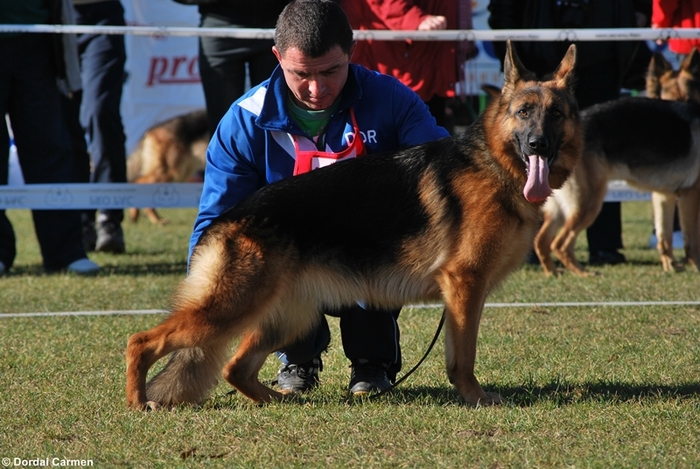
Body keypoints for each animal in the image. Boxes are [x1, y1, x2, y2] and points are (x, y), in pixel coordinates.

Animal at [124, 43, 580, 410]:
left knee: (235, 368)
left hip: (288, 317)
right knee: (141, 341)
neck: (494, 164)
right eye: (524, 113)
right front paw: (475, 397)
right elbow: (462, 359)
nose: (538, 144)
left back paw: (277, 401)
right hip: (232, 308)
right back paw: (138, 402)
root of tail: (226, 219)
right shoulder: (464, 287)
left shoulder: (464, 292)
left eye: (556, 114)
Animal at [532, 48, 700, 274]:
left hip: (562, 206)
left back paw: (554, 273)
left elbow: (664, 236)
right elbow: (692, 239)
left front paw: (671, 266)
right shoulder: (691, 194)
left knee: (541, 240)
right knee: (560, 244)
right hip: (589, 202)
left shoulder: (664, 195)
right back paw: (583, 273)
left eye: (687, 99)